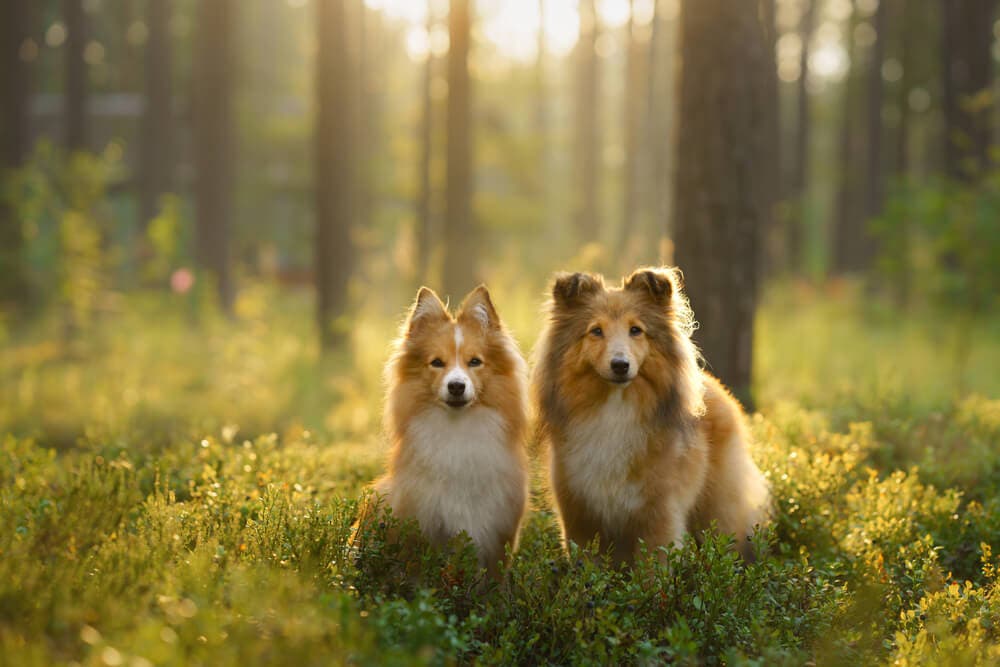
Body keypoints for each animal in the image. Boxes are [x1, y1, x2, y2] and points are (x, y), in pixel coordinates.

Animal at [360, 284, 532, 576]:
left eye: (474, 362)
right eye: (437, 363)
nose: (456, 386)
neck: (457, 431)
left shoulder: (497, 536)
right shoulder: (420, 529)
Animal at [532, 266, 772, 564]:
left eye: (636, 330)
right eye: (596, 331)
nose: (620, 365)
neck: (615, 409)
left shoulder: (658, 516)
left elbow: (652, 569)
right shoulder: (580, 518)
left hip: (717, 511)